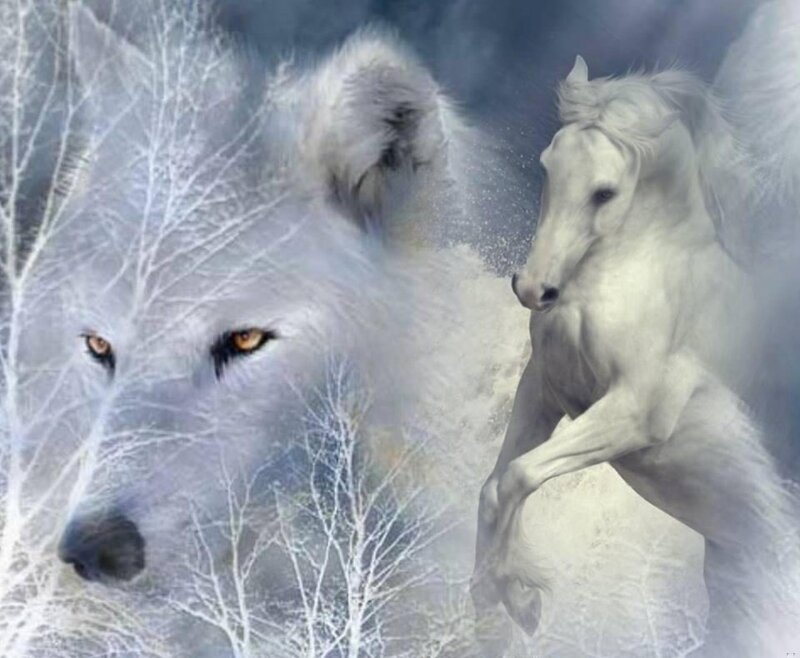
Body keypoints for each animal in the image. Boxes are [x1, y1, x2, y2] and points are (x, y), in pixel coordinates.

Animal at [471, 55, 800, 656]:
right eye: (548, 165)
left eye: (604, 192)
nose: (533, 289)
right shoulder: (544, 388)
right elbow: (494, 485)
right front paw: (488, 598)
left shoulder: (632, 414)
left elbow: (519, 477)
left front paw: (521, 598)